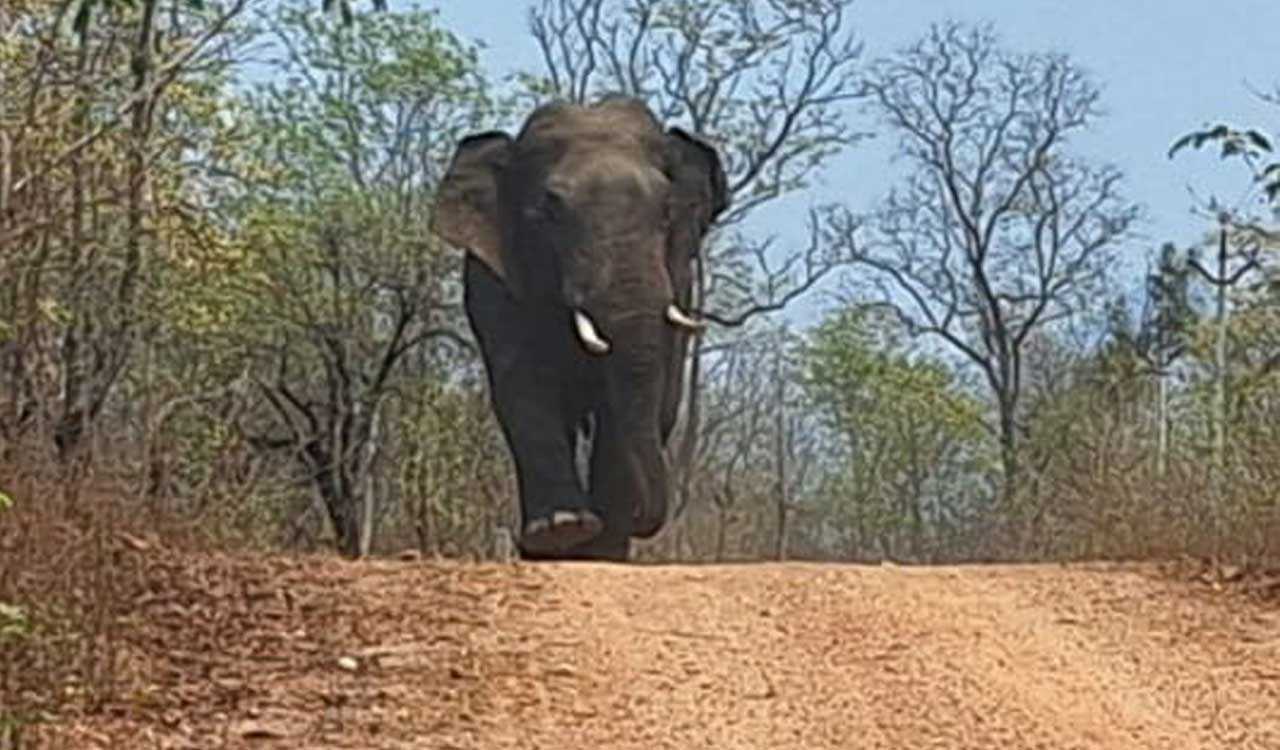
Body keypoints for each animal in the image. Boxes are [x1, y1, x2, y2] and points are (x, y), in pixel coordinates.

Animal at [429, 95, 728, 561]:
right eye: (548, 212)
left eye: (667, 212)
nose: (641, 519)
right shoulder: (494, 283)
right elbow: (524, 385)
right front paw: (562, 530)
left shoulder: (679, 281)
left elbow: (639, 398)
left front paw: (601, 545)